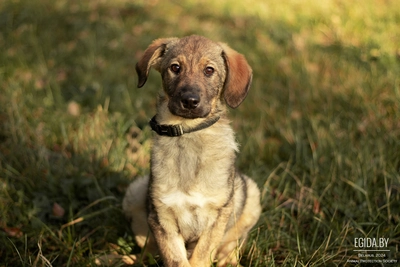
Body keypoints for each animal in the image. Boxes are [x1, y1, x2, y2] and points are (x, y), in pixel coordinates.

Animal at [123, 36, 260, 267]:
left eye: (209, 70)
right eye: (175, 68)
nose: (190, 101)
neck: (188, 133)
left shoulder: (218, 214)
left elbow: (201, 256)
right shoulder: (161, 216)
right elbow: (176, 259)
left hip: (250, 194)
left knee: (234, 242)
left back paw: (228, 259)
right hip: (134, 193)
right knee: (148, 250)